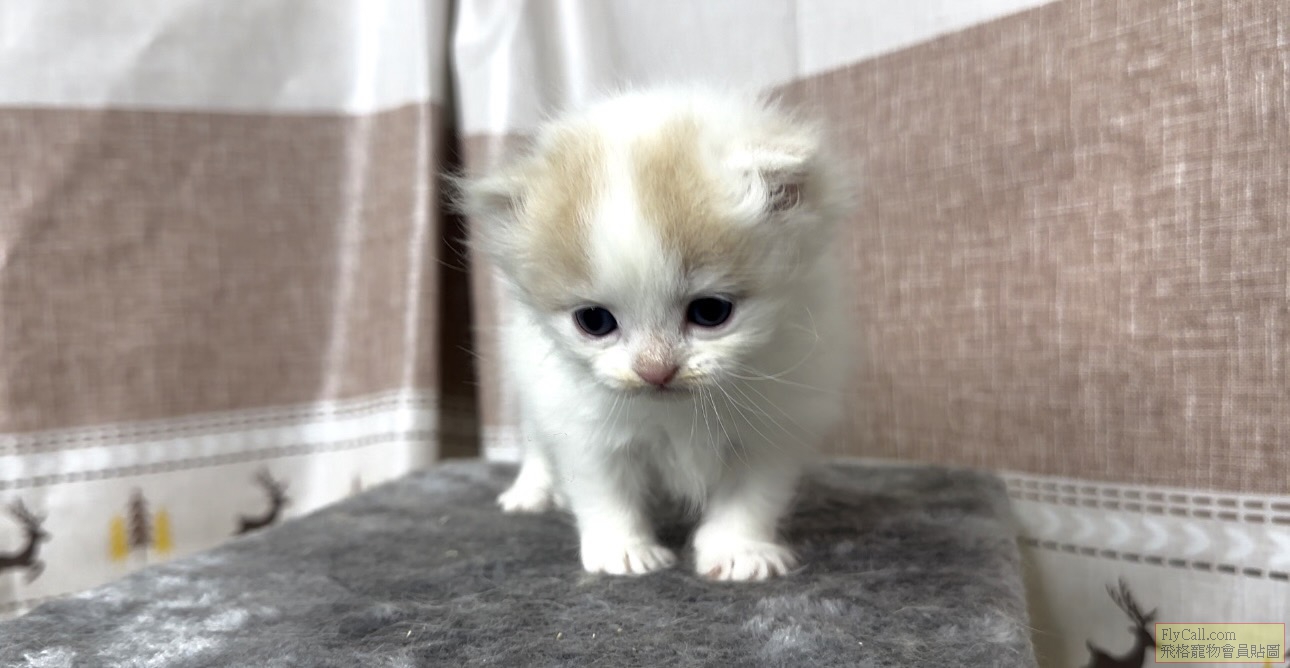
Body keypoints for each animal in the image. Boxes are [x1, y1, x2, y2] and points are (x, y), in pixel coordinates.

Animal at [459, 86, 854, 581]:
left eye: (710, 312)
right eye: (594, 321)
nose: (655, 370)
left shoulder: (775, 424)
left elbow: (750, 497)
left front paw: (739, 551)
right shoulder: (582, 421)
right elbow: (604, 490)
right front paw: (623, 551)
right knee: (535, 439)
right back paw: (531, 492)